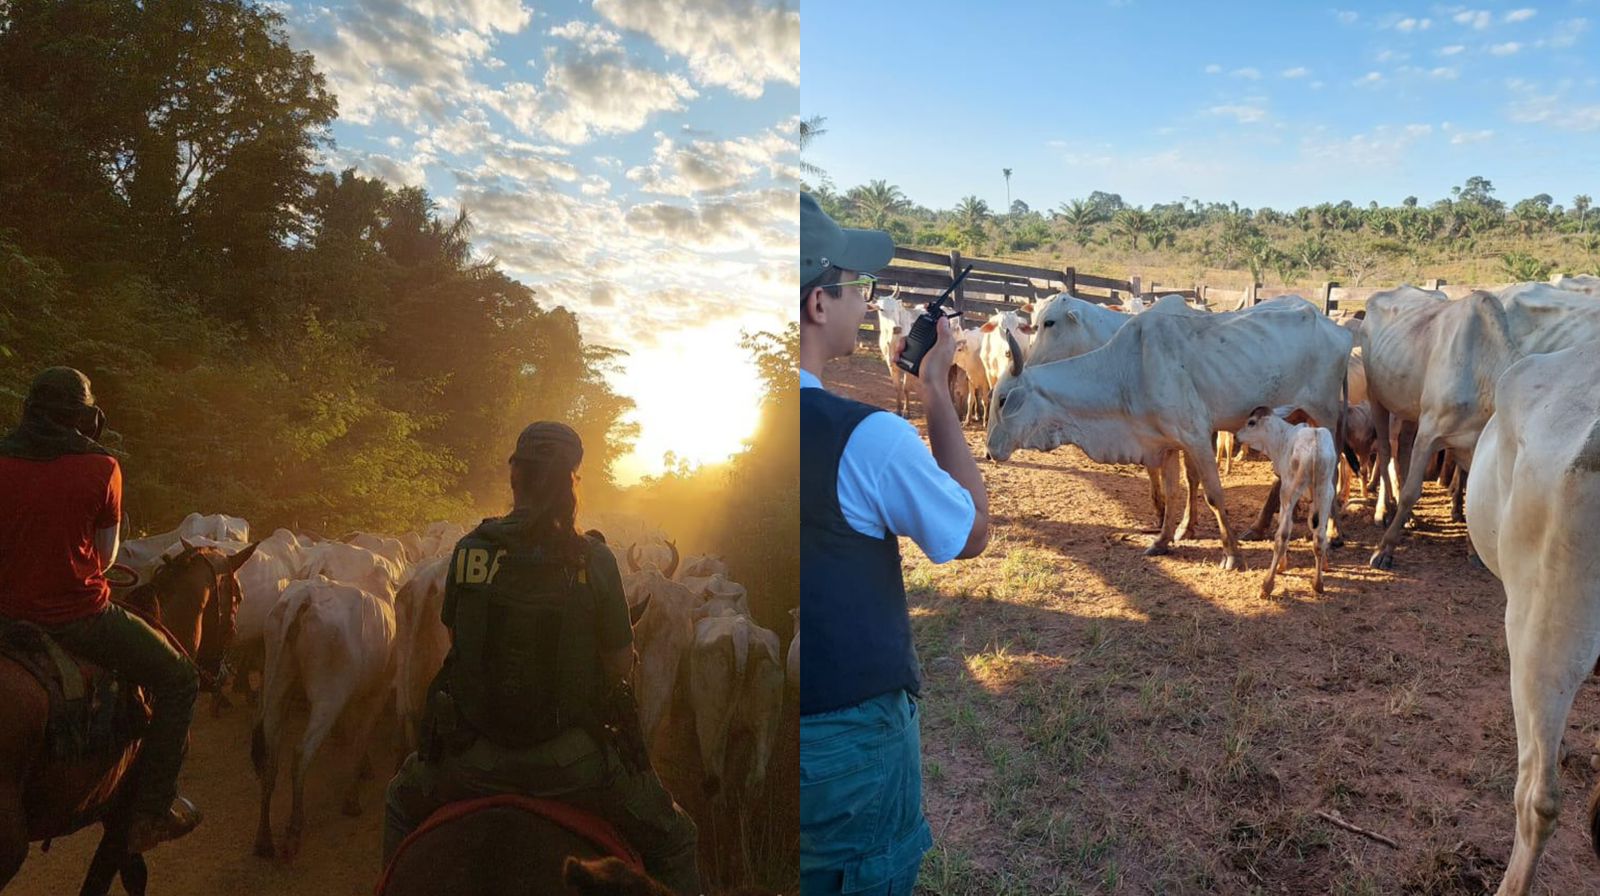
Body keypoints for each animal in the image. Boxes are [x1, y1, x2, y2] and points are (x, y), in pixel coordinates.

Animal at [256, 576, 396, 864]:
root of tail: (303, 597)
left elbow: (353, 732)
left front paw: (364, 768)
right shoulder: (379, 690)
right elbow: (360, 738)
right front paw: (352, 798)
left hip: (277, 687)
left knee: (269, 757)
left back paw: (264, 839)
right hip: (327, 697)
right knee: (301, 754)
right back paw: (293, 833)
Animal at [985, 299, 1350, 566]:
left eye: (1002, 400)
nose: (989, 451)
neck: (1129, 370)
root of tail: (1336, 328)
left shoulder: (1196, 436)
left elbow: (1213, 494)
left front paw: (1231, 554)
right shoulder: (1166, 444)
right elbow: (1174, 492)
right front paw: (1162, 540)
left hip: (1326, 415)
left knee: (1331, 474)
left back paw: (1332, 532)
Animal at [1235, 409, 1337, 598]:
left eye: (1251, 422)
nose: (1236, 435)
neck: (1282, 437)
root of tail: (1315, 443)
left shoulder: (1285, 494)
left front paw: (1282, 566)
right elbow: (1316, 529)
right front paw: (1325, 565)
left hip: (1290, 491)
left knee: (1282, 536)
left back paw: (1267, 585)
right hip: (1325, 491)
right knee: (1320, 536)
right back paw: (1318, 584)